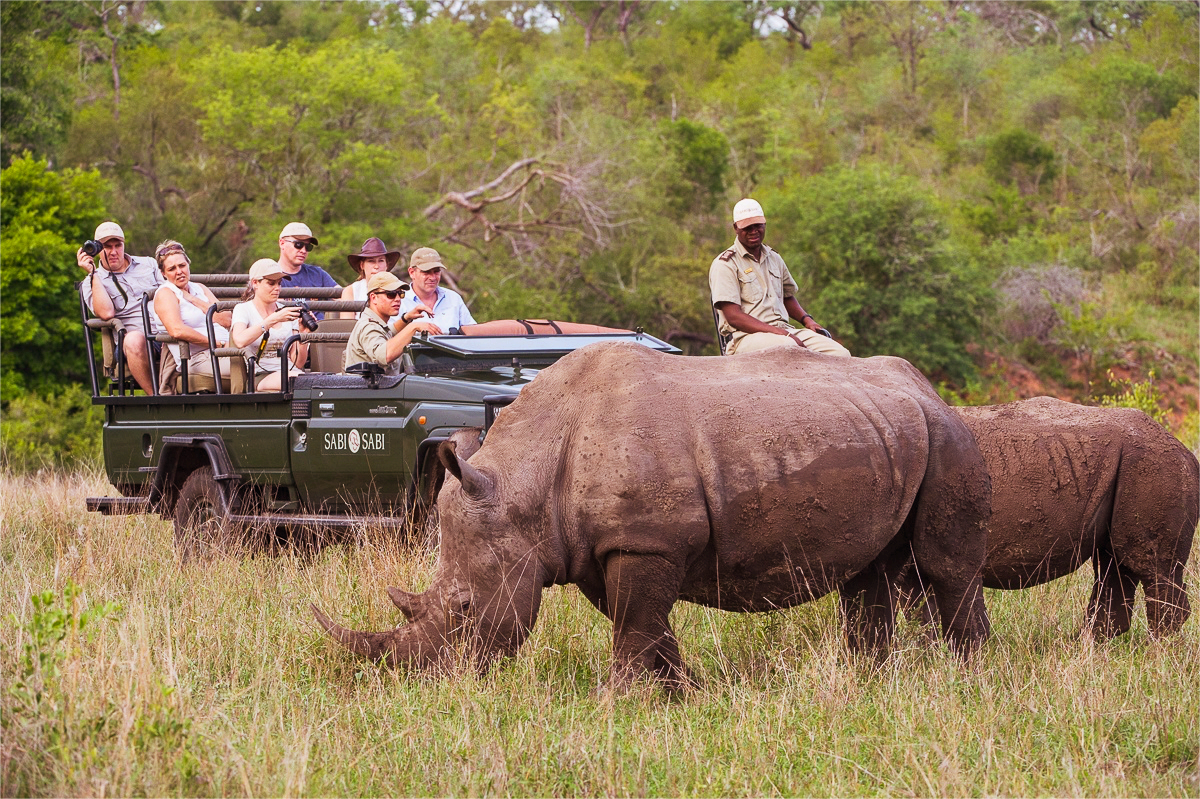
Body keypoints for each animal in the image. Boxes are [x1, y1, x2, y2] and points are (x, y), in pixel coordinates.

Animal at [314, 338, 988, 686]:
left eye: (462, 608)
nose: (426, 684)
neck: (524, 483)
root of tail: (928, 388)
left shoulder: (644, 542)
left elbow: (635, 624)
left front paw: (619, 703)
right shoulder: (599, 546)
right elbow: (640, 624)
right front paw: (679, 695)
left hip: (948, 436)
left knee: (947, 569)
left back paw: (971, 679)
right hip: (886, 434)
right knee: (869, 573)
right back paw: (869, 682)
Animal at [902, 395, 1200, 633]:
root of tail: (1185, 451)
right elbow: (917, 610)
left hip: (1156, 466)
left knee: (1152, 567)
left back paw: (1158, 654)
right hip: (1135, 466)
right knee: (1113, 564)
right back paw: (1092, 653)